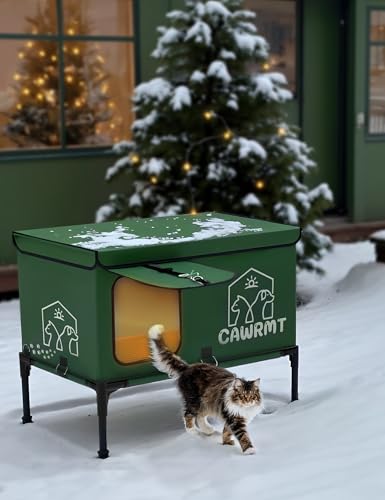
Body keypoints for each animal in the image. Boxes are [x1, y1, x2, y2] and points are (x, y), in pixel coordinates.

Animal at [146, 322, 260, 456]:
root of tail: (188, 367)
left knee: (200, 417)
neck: (243, 409)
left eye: (252, 396)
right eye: (242, 396)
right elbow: (242, 435)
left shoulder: (232, 417)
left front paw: (226, 443)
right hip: (194, 400)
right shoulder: (234, 418)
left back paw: (208, 430)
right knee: (188, 415)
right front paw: (249, 450)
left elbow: (226, 431)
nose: (248, 401)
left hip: (205, 403)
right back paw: (193, 432)